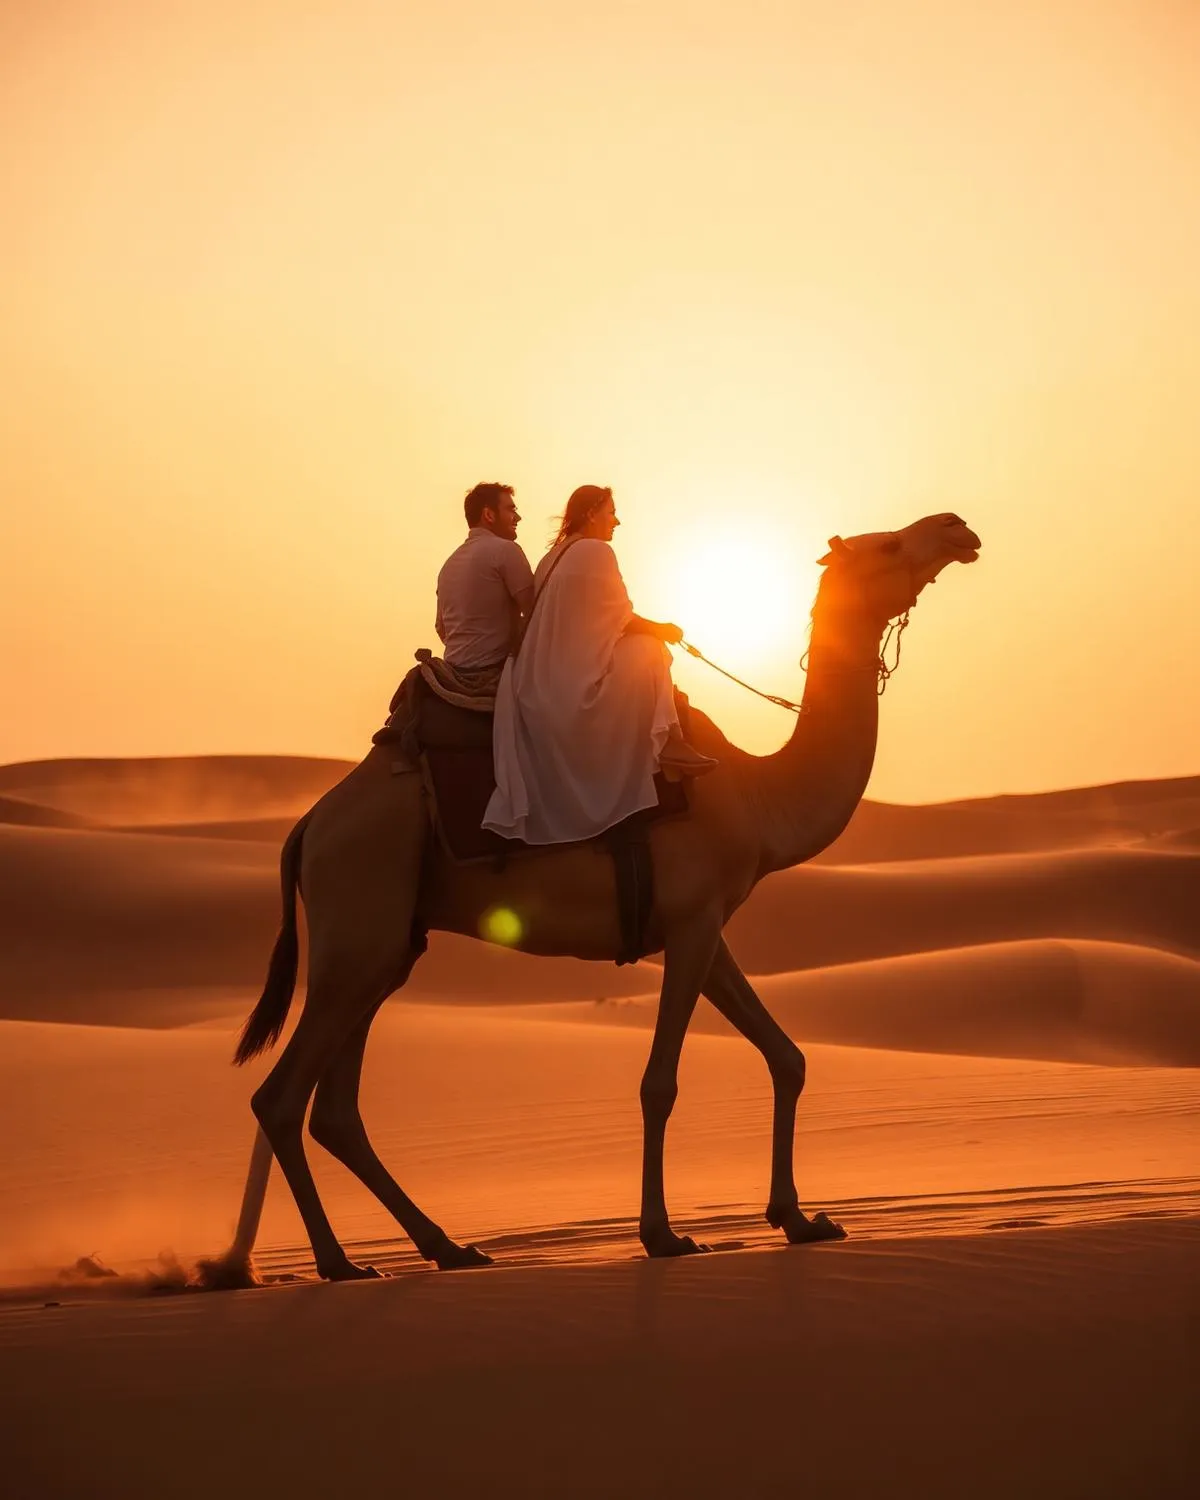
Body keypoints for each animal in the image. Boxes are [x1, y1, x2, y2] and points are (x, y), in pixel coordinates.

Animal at [212, 512, 981, 1285]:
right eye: (889, 546)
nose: (957, 528)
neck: (758, 798)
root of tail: (310, 825)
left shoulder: (701, 925)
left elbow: (786, 1056)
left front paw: (801, 1219)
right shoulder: (694, 918)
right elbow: (660, 1083)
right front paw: (664, 1235)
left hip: (385, 945)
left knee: (335, 1109)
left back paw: (445, 1248)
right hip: (359, 913)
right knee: (281, 1097)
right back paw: (340, 1262)